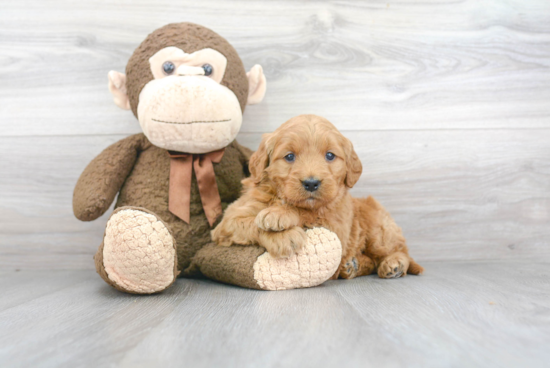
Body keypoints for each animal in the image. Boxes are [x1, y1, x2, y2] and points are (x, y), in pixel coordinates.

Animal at [211, 115, 422, 278]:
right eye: (289, 156)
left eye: (330, 156)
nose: (311, 183)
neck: (280, 198)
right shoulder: (228, 221)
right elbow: (248, 222)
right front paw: (284, 236)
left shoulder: (337, 227)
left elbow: (307, 212)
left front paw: (279, 215)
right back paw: (351, 267)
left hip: (378, 230)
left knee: (399, 250)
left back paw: (394, 265)